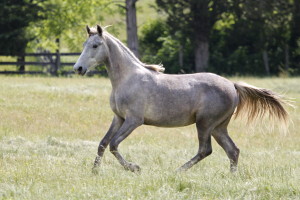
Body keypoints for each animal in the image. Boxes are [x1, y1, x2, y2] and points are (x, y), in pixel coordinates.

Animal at [73, 24, 288, 172]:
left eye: (95, 45)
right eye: (84, 44)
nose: (78, 68)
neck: (128, 78)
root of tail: (232, 86)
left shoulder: (134, 120)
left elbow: (114, 143)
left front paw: (134, 168)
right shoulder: (118, 118)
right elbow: (103, 143)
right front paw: (94, 171)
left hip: (204, 123)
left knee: (205, 150)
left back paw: (177, 171)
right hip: (218, 127)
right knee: (232, 150)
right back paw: (232, 177)